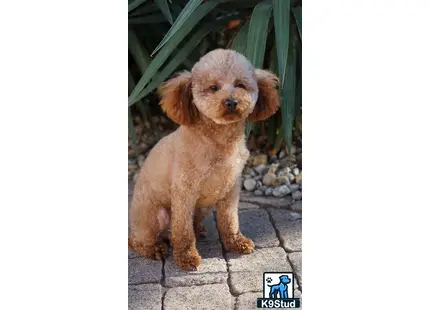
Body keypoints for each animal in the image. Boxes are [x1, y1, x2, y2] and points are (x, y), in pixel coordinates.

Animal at [128, 47, 278, 268]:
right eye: (213, 87)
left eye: (240, 85)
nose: (231, 102)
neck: (218, 141)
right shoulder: (184, 191)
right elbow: (182, 231)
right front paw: (186, 256)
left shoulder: (230, 189)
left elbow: (229, 220)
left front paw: (236, 242)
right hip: (155, 216)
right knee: (141, 240)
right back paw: (155, 248)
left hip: (204, 207)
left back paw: (198, 230)